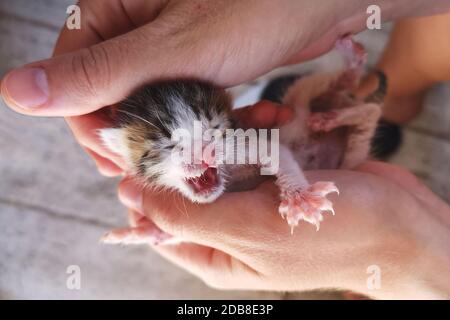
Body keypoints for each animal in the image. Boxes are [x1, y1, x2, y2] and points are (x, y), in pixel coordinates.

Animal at [98, 35, 384, 245]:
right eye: (168, 144)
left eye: (214, 129)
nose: (204, 153)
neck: (229, 177)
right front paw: (144, 233)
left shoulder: (248, 141)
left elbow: (279, 154)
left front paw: (300, 198)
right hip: (351, 156)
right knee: (366, 116)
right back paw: (334, 117)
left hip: (301, 98)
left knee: (351, 96)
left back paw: (345, 81)